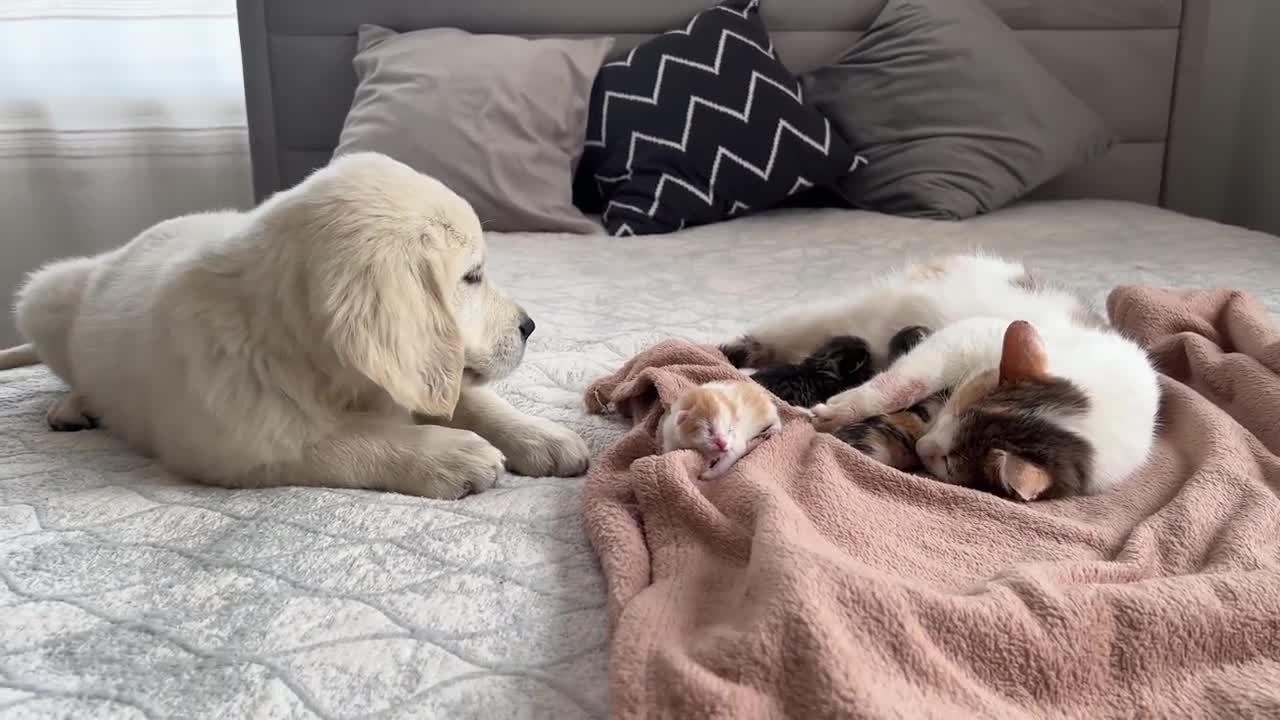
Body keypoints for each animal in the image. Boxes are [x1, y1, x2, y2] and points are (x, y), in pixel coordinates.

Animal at [0, 149, 588, 499]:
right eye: (472, 276)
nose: (530, 326)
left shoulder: (418, 373)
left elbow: (472, 398)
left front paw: (542, 436)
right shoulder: (237, 440)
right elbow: (347, 441)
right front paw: (450, 454)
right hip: (43, 299)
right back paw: (75, 404)